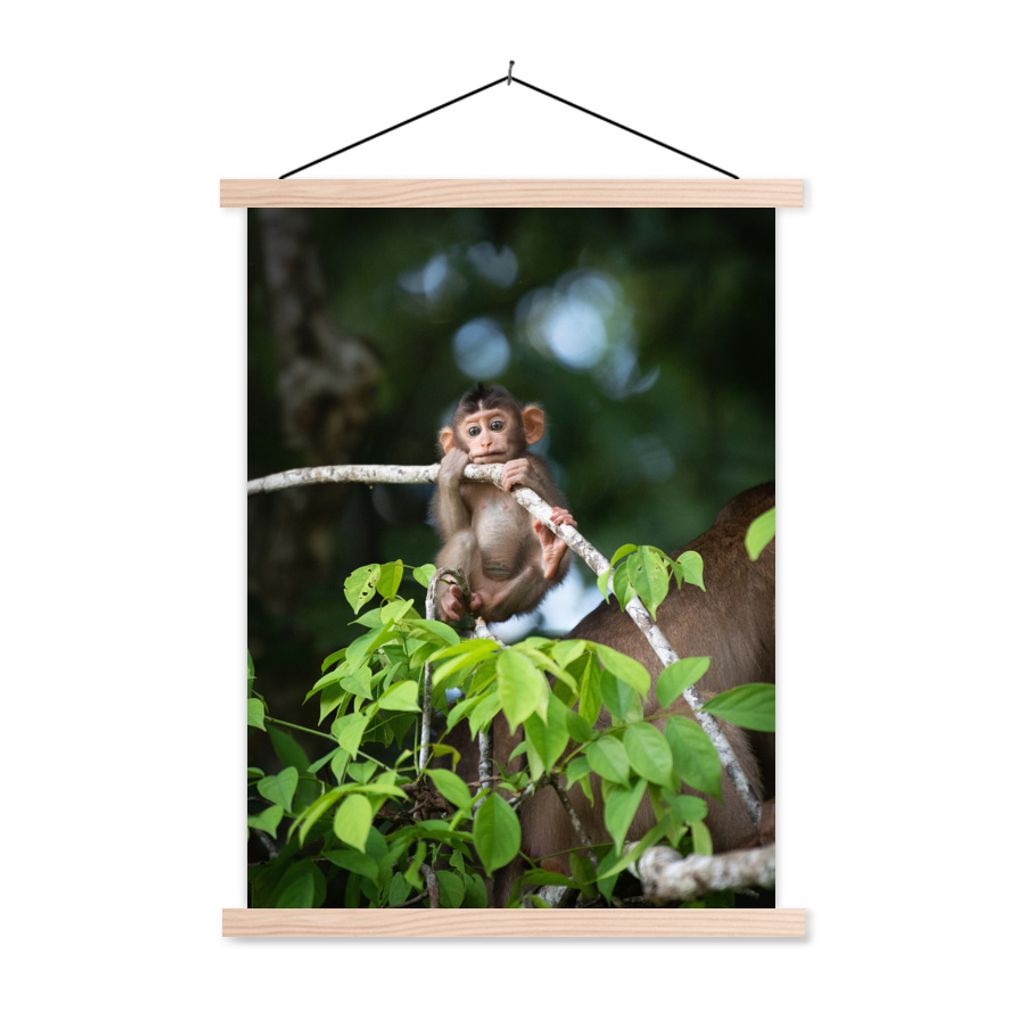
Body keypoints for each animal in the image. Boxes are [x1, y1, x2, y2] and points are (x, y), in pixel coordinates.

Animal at [430, 383, 577, 624]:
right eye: (473, 431)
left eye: (496, 425)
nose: (486, 441)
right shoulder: (465, 483)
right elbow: (454, 530)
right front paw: (449, 472)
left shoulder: (537, 464)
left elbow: (548, 502)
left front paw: (525, 475)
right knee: (463, 538)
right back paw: (449, 603)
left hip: (504, 599)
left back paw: (551, 556)